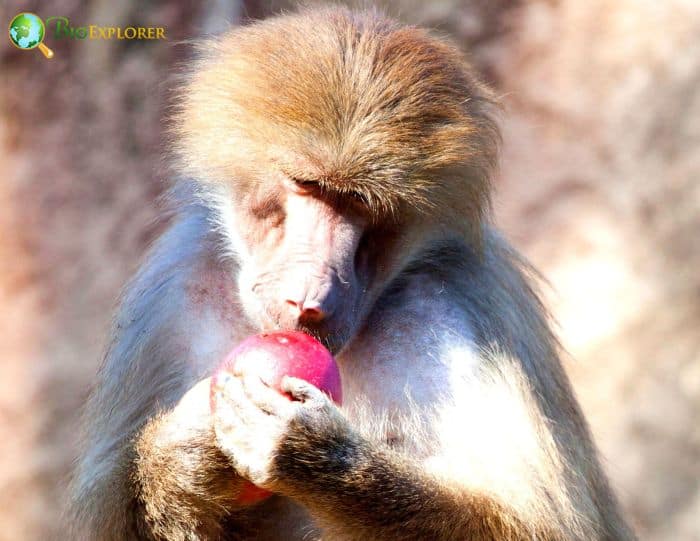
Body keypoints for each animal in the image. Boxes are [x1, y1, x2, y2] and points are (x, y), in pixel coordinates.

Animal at [69, 7, 636, 541]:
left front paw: (309, 452)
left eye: (361, 203)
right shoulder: (170, 287)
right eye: (308, 185)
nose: (307, 300)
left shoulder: (467, 301)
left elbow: (544, 524)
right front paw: (188, 453)